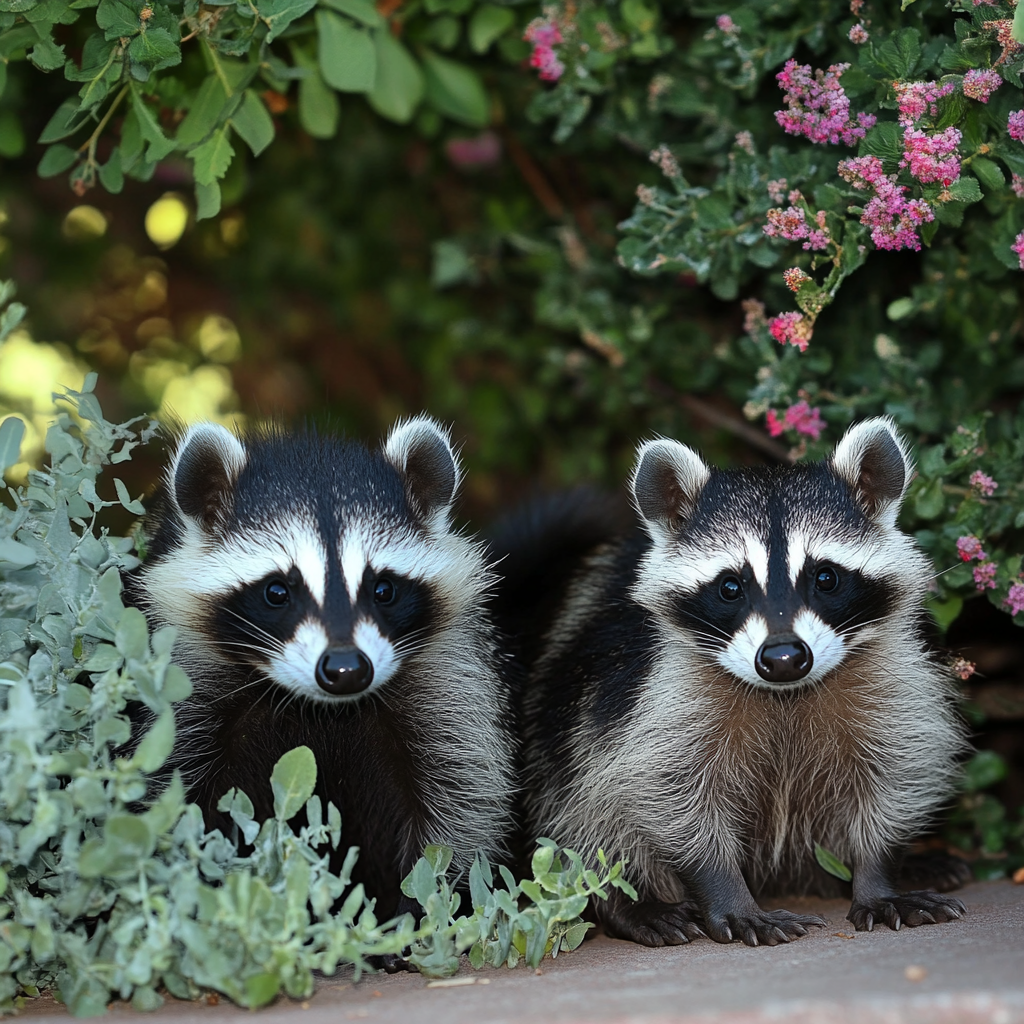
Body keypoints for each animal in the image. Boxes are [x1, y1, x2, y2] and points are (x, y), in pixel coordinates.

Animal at [124, 415, 516, 921]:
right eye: (277, 592)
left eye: (383, 589)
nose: (347, 669)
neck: (323, 708)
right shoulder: (188, 676)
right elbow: (172, 795)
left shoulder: (445, 682)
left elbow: (457, 804)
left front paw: (419, 910)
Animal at [509, 419, 966, 946]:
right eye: (731, 586)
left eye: (826, 578)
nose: (784, 658)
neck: (785, 695)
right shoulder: (658, 693)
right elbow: (666, 790)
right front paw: (724, 890)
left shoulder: (893, 673)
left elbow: (897, 771)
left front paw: (879, 872)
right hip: (563, 730)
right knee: (585, 809)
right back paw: (629, 902)